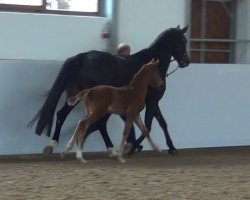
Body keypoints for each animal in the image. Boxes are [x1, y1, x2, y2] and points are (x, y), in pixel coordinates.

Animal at [28, 25, 189, 155]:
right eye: (182, 40)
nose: (186, 62)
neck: (151, 66)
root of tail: (81, 58)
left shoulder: (151, 103)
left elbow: (162, 123)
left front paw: (171, 147)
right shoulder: (152, 101)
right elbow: (148, 126)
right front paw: (133, 147)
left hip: (74, 96)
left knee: (62, 115)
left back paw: (53, 144)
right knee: (99, 123)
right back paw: (111, 149)